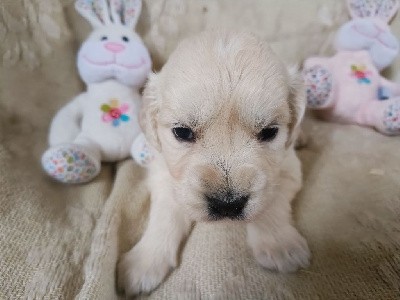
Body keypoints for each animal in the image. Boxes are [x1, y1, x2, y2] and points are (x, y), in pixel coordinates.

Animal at [117, 30, 310, 296]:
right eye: (182, 132)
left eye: (269, 132)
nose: (227, 204)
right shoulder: (164, 172)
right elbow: (165, 211)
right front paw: (144, 262)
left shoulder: (288, 167)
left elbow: (271, 201)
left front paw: (280, 246)